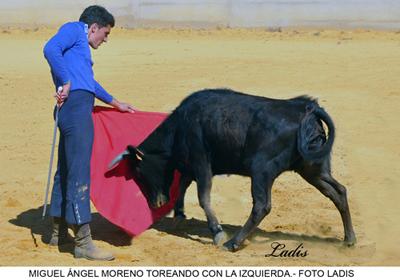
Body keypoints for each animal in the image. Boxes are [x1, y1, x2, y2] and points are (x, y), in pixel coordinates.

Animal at [110, 89, 356, 252]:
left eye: (140, 171)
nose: (155, 204)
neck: (179, 127)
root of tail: (307, 108)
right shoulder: (191, 166)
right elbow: (182, 186)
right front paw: (179, 216)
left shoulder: (202, 163)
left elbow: (203, 197)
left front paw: (217, 232)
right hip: (313, 169)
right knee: (338, 192)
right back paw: (349, 239)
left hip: (262, 170)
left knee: (262, 206)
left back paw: (232, 243)